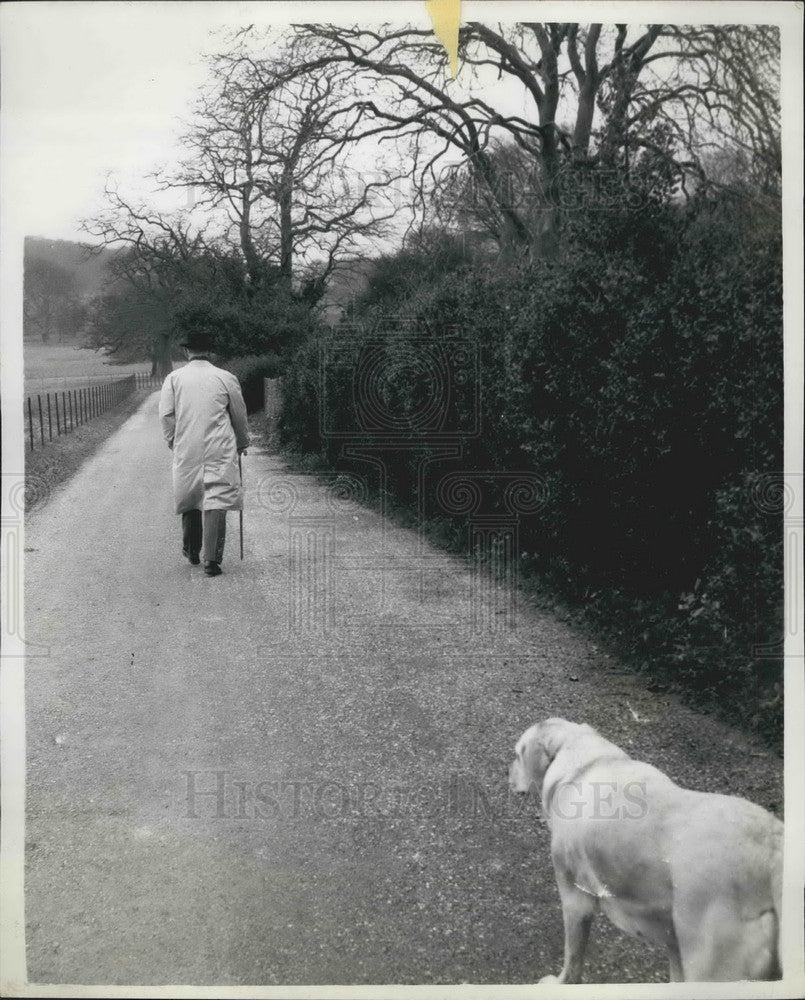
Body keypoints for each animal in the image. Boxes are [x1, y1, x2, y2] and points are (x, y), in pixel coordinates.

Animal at [508, 720, 780, 984]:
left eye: (518, 754)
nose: (507, 773)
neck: (586, 764)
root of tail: (770, 849)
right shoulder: (673, 943)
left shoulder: (576, 901)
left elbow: (572, 960)